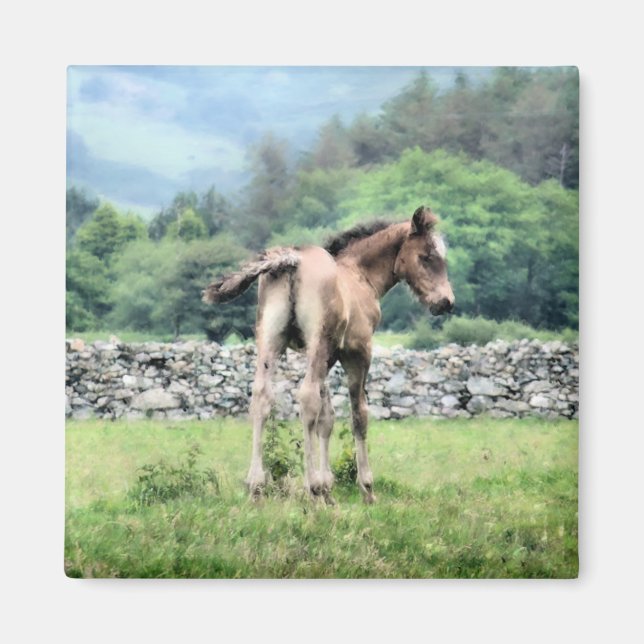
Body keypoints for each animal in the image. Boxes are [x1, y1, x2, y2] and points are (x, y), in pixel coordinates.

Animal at [202, 205, 454, 504]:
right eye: (427, 256)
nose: (446, 302)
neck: (360, 275)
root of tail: (291, 260)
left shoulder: (325, 355)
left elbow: (327, 418)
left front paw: (327, 490)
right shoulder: (357, 352)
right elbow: (358, 414)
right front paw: (365, 489)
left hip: (270, 339)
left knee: (262, 396)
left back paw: (256, 487)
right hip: (318, 341)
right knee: (307, 397)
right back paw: (309, 488)